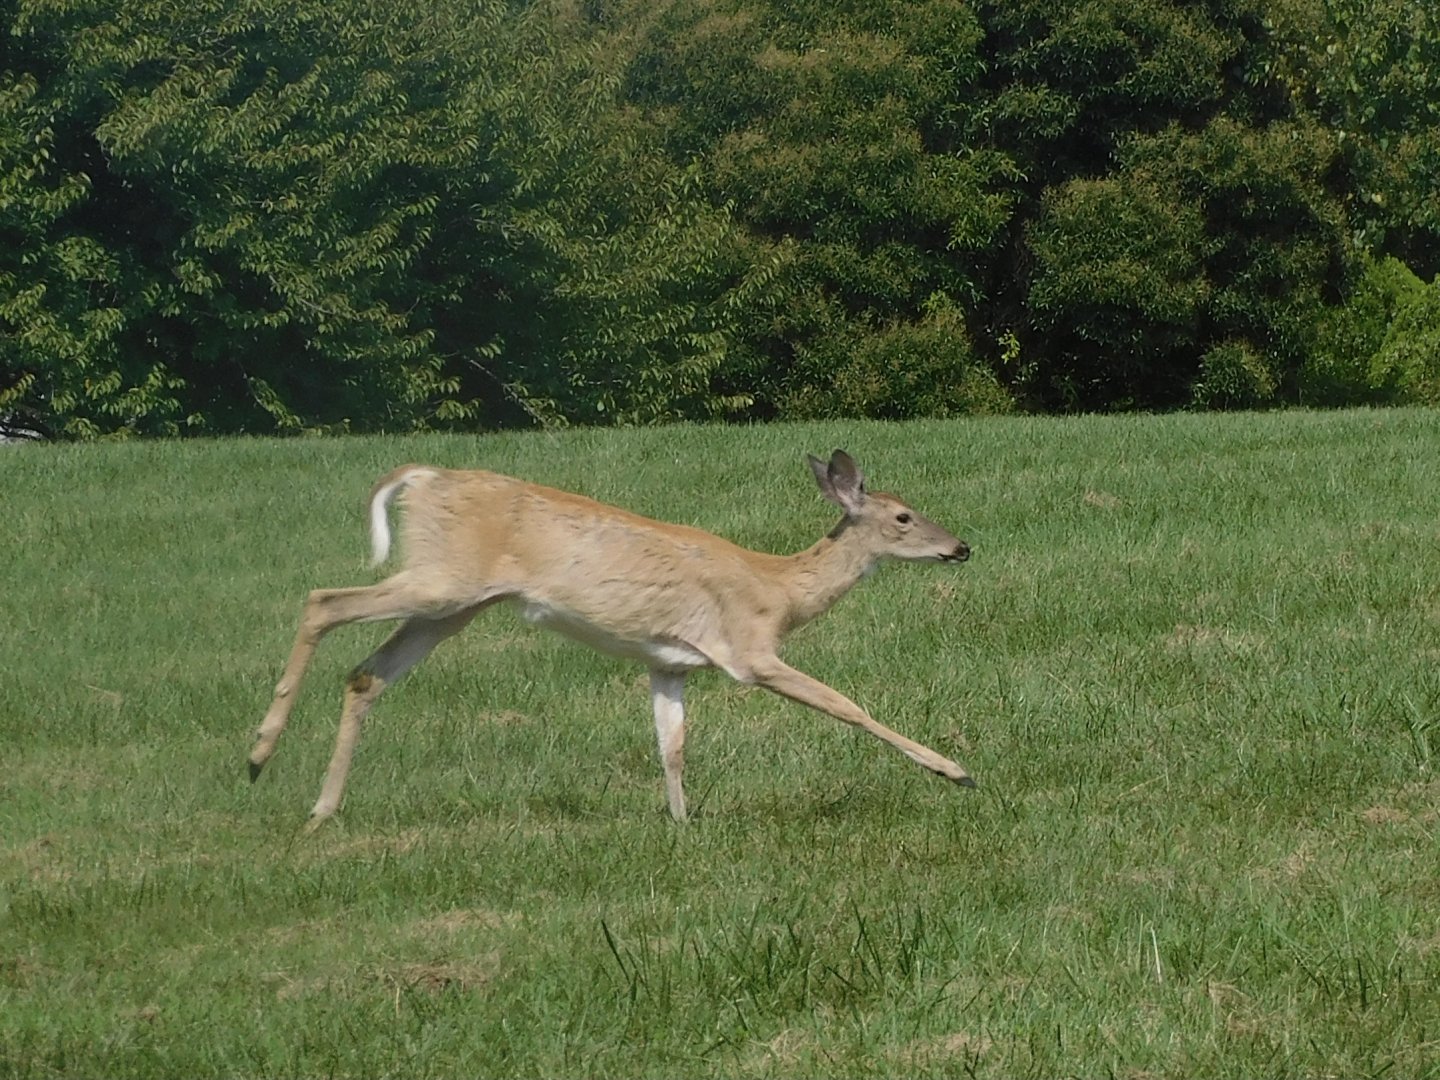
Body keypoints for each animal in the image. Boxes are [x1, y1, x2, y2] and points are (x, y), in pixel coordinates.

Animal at [247, 449, 975, 828]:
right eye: (904, 516)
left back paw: (320, 806)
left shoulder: (670, 662)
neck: (781, 588)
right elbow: (848, 706)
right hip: (442, 580)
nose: (962, 547)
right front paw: (954, 770)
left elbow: (671, 745)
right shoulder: (750, 650)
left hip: (453, 604)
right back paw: (259, 751)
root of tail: (421, 476)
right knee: (321, 601)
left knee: (366, 673)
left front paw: (681, 822)